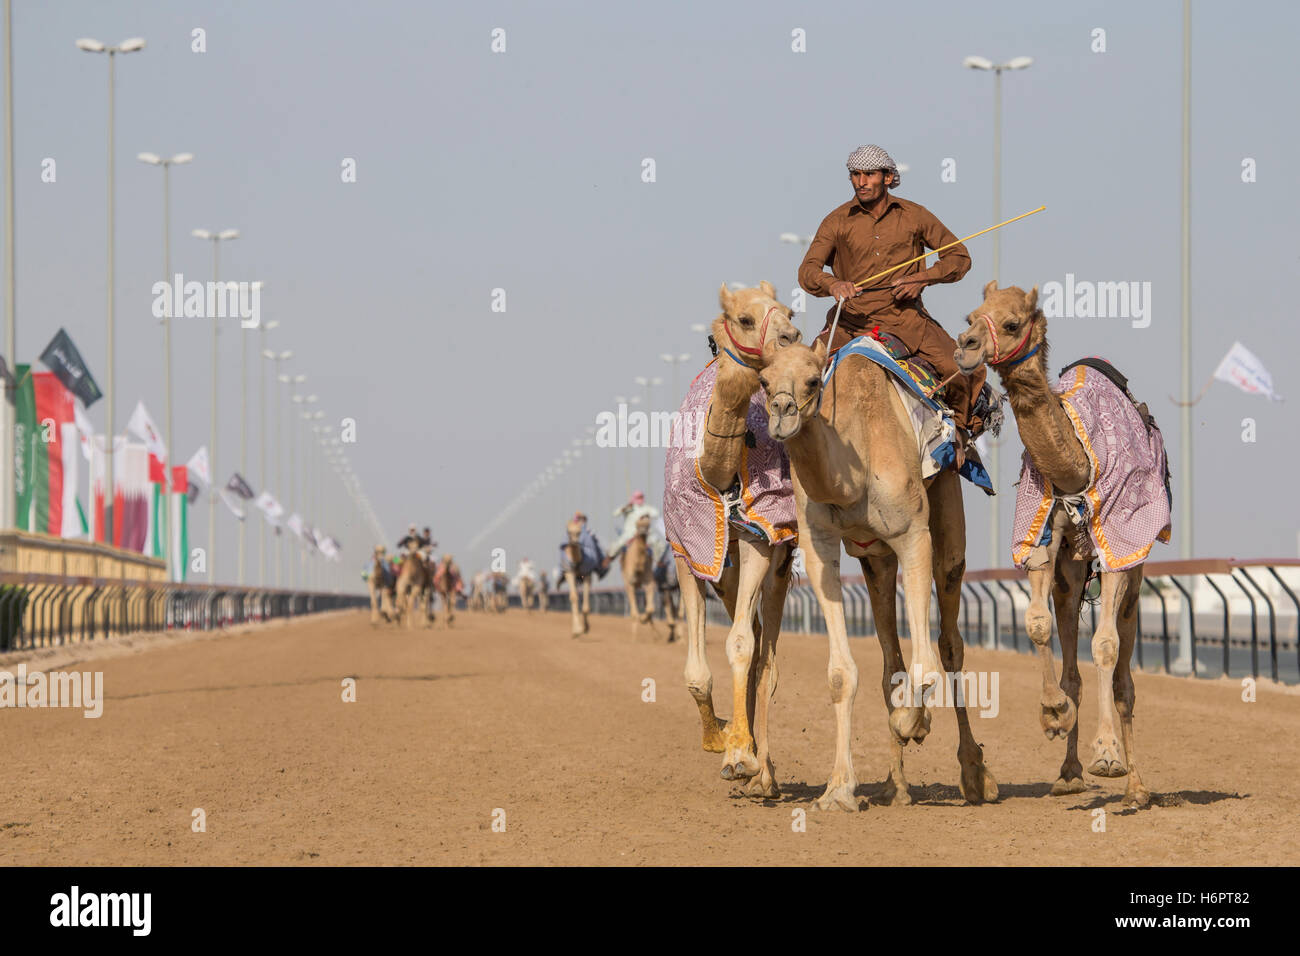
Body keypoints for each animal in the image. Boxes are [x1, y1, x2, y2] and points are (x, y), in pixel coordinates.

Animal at [759, 332, 998, 811]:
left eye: (813, 380)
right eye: (763, 380)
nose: (782, 414)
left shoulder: (913, 535)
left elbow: (926, 666)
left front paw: (915, 724)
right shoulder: (820, 546)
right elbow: (842, 674)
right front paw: (838, 790)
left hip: (946, 512)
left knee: (949, 643)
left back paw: (974, 775)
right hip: (876, 560)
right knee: (892, 662)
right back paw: (896, 786)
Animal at [951, 278, 1175, 806]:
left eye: (1012, 322)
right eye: (972, 315)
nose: (965, 346)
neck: (1077, 466)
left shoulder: (1121, 541)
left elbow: (1106, 647)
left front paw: (1108, 757)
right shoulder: (1042, 533)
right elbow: (1035, 624)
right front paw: (1053, 714)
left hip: (1135, 573)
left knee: (1124, 673)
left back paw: (1135, 787)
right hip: (1072, 575)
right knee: (1074, 655)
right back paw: (1068, 773)